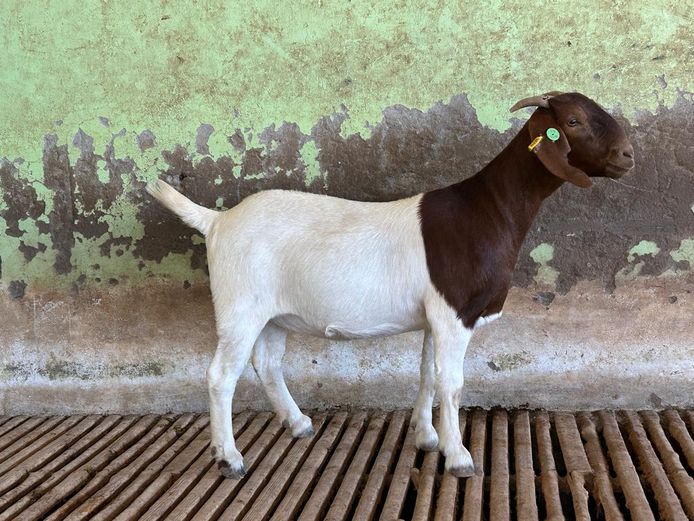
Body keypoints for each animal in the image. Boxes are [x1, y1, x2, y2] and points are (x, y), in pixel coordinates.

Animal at [147, 92, 634, 479]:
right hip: (239, 306)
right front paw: (459, 457)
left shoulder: (435, 316)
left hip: (272, 314)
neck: (487, 212)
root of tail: (217, 221)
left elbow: (427, 373)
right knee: (220, 376)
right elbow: (451, 382)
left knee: (266, 364)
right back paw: (230, 459)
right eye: (572, 121)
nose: (629, 155)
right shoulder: (454, 313)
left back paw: (298, 423)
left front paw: (426, 437)